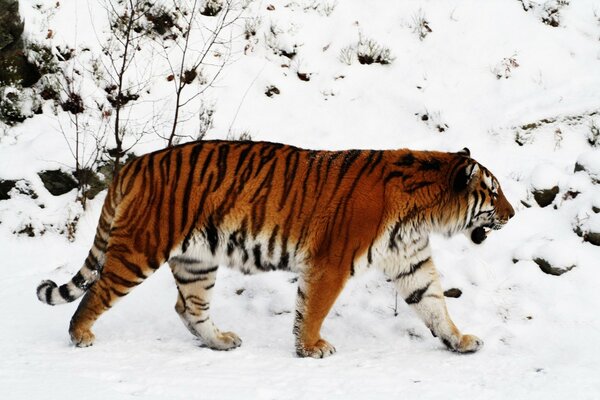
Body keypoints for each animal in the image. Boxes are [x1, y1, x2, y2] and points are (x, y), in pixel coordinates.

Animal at [36, 140, 516, 356]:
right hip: (141, 248)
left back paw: (220, 341)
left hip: (197, 261)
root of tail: (134, 164)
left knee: (188, 307)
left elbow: (434, 304)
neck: (424, 213)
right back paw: (80, 335)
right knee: (98, 291)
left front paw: (459, 340)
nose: (513, 214)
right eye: (493, 194)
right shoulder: (331, 262)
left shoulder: (410, 261)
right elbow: (315, 307)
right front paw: (311, 347)